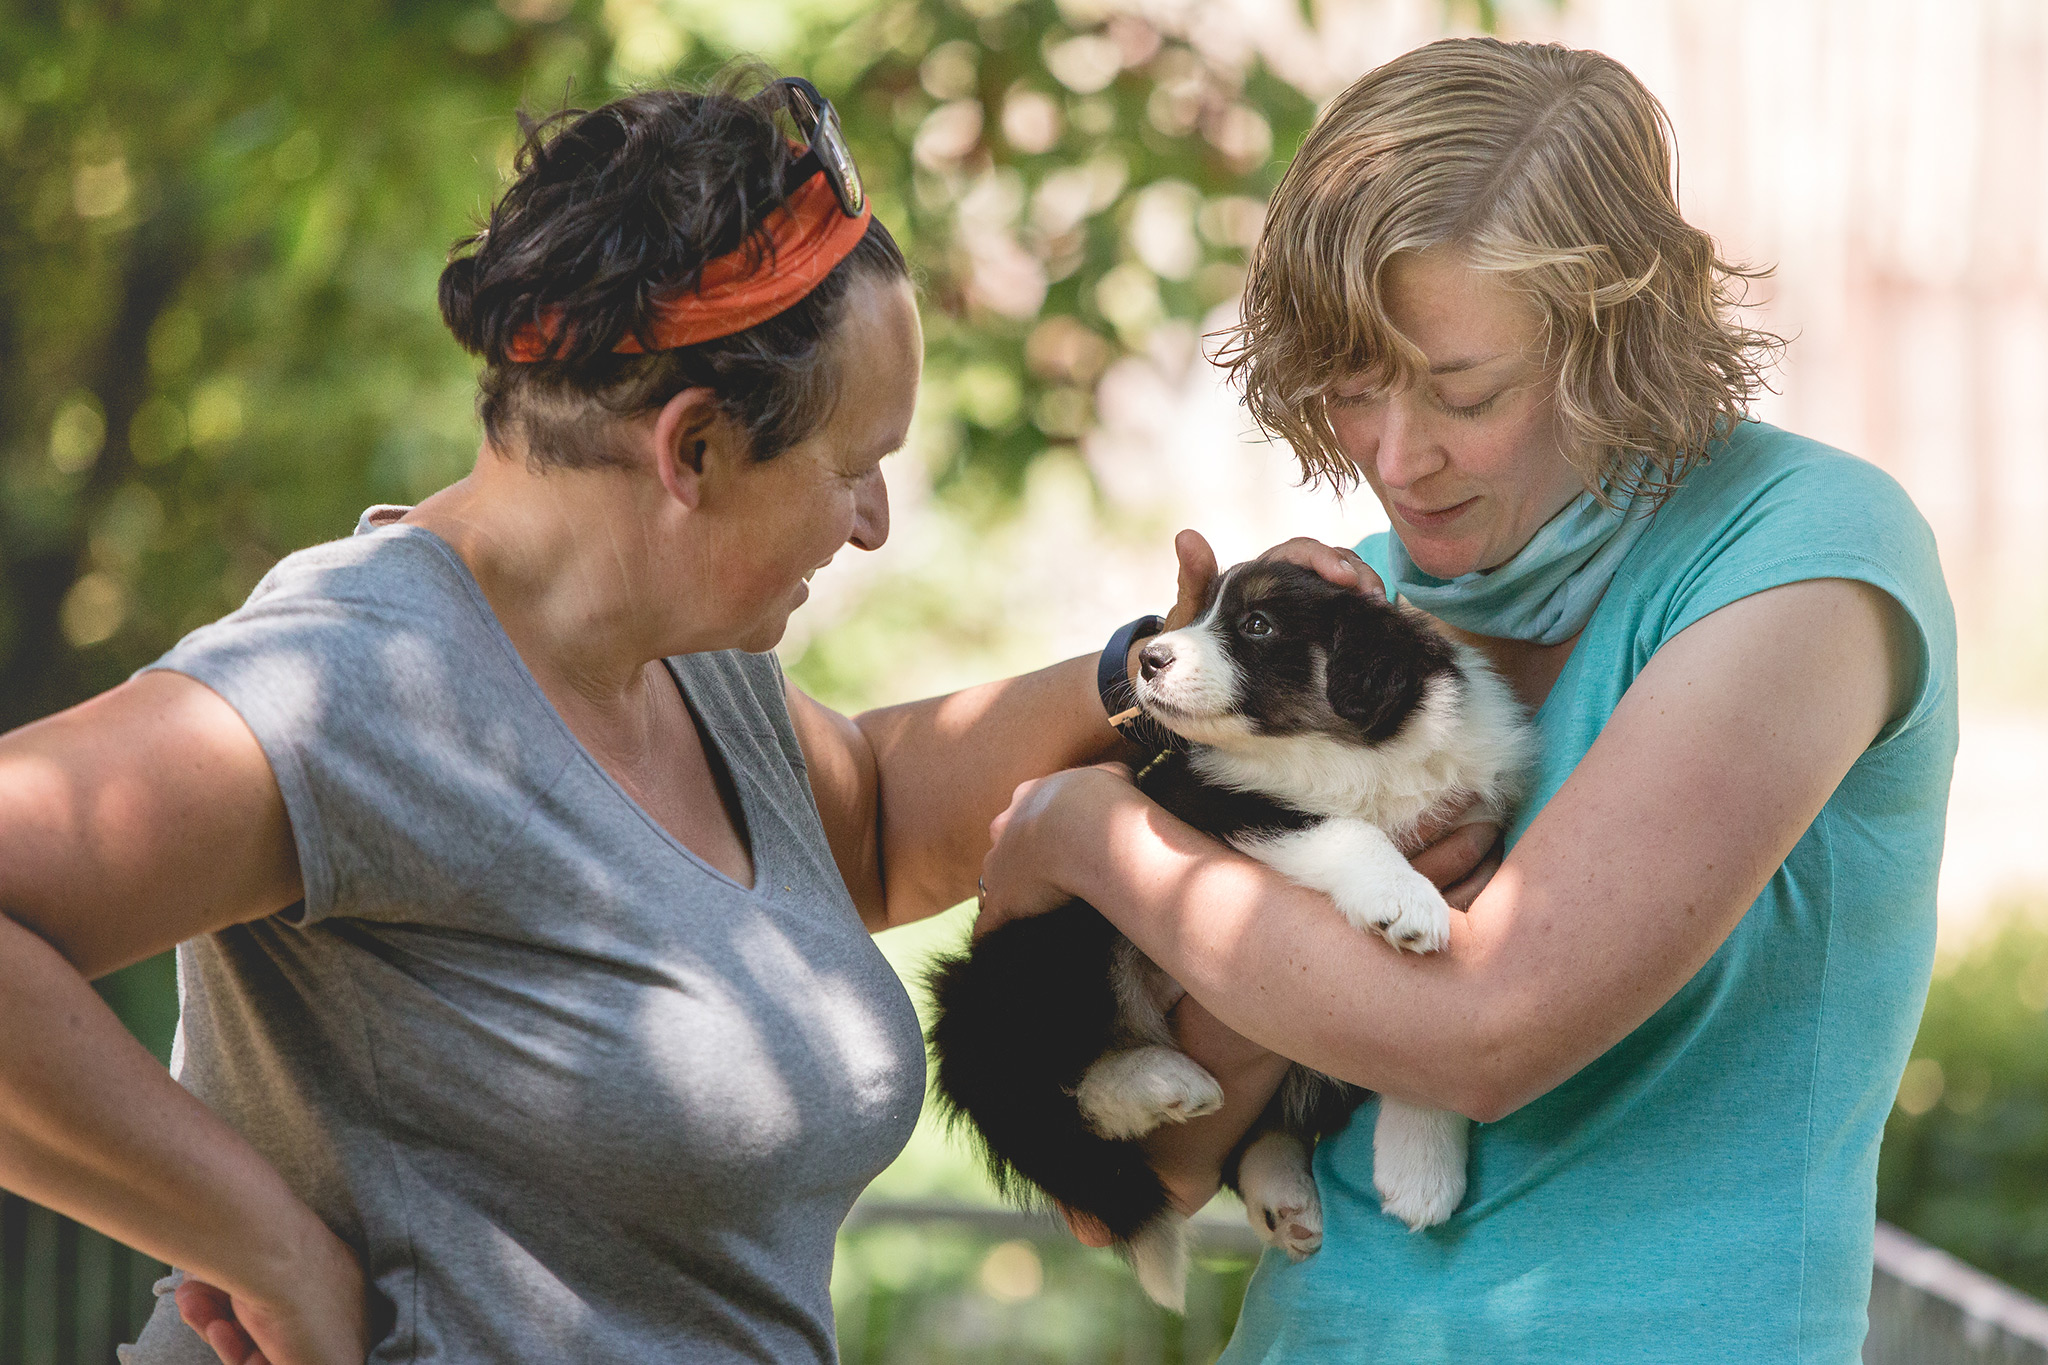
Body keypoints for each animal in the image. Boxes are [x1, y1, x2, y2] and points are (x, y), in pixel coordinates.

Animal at [921, 560, 1531, 1309]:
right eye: (1202, 609)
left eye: (1257, 625)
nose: (1149, 657)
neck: (1342, 753)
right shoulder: (1214, 801)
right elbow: (1337, 827)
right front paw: (1403, 899)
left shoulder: (1475, 838)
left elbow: (1429, 1042)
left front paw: (1421, 1174)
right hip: (1059, 936)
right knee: (1047, 1087)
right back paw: (1154, 1083)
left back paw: (1282, 1194)